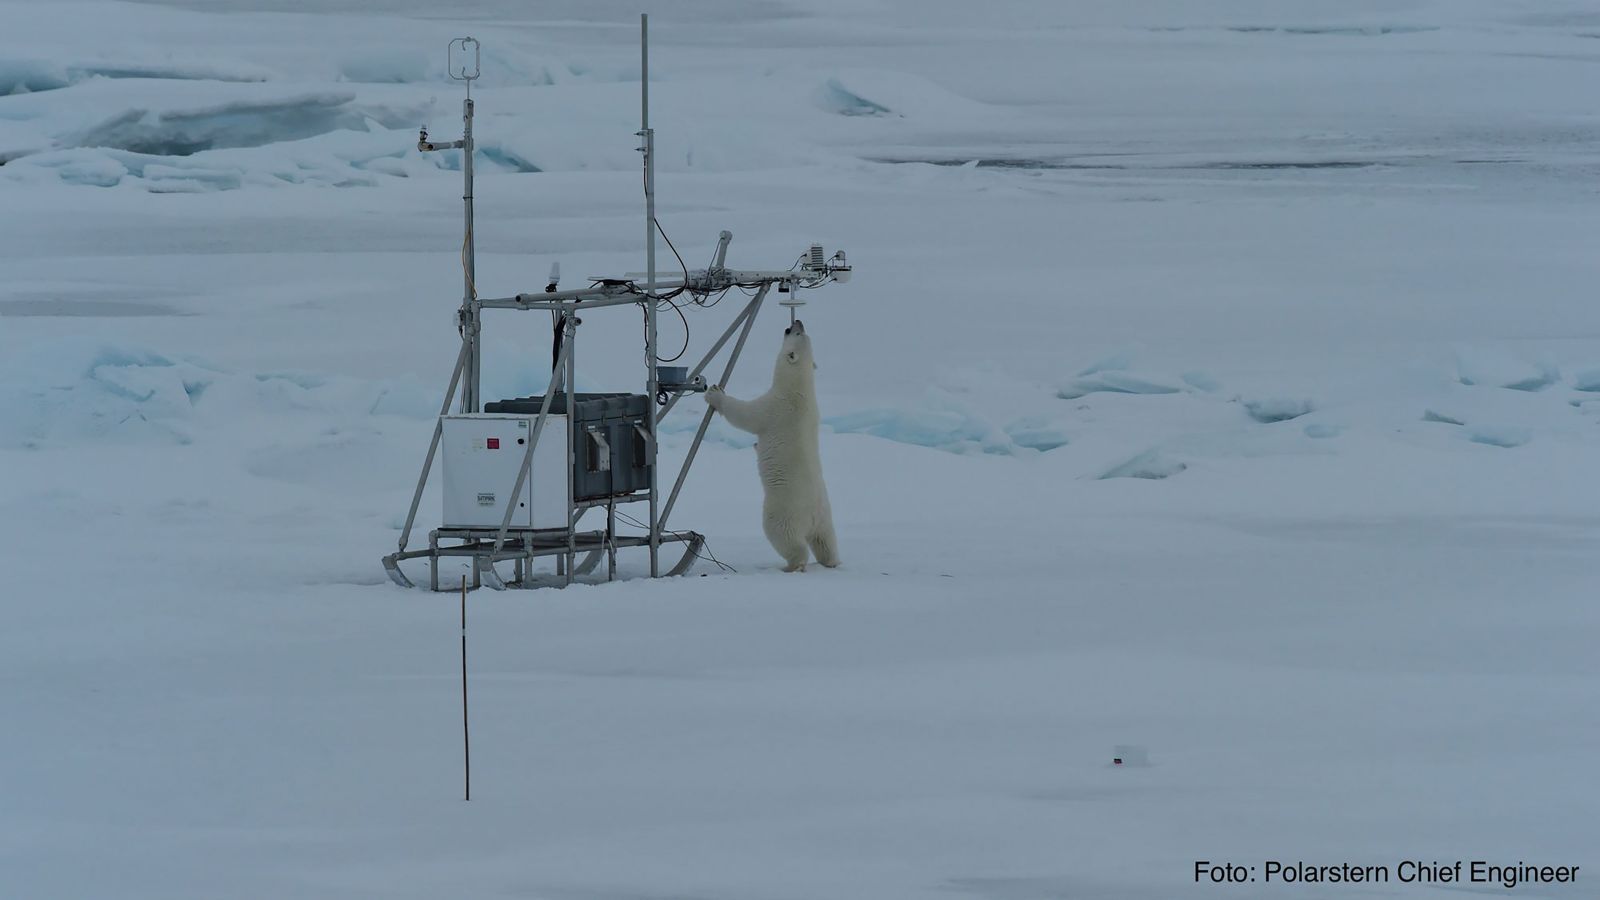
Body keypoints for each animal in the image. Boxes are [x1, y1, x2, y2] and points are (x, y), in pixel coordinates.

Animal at [710, 318, 844, 566]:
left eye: (798, 333)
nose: (797, 321)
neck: (798, 388)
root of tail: (811, 516)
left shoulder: (775, 406)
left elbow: (745, 415)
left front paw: (714, 394)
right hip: (825, 517)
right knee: (826, 541)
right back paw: (832, 562)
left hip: (783, 511)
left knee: (786, 539)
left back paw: (792, 565)